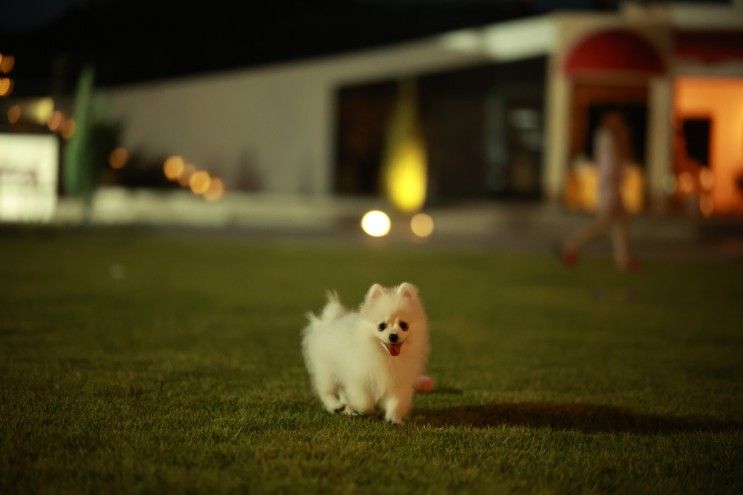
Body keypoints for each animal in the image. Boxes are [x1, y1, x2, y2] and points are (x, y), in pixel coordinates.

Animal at [302, 280, 430, 424]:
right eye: (381, 326)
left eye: (404, 325)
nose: (393, 336)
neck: (385, 356)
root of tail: (329, 321)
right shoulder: (358, 379)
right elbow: (363, 402)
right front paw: (362, 409)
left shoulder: (397, 382)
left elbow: (396, 403)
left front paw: (394, 420)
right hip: (326, 371)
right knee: (326, 392)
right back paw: (336, 406)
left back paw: (347, 409)